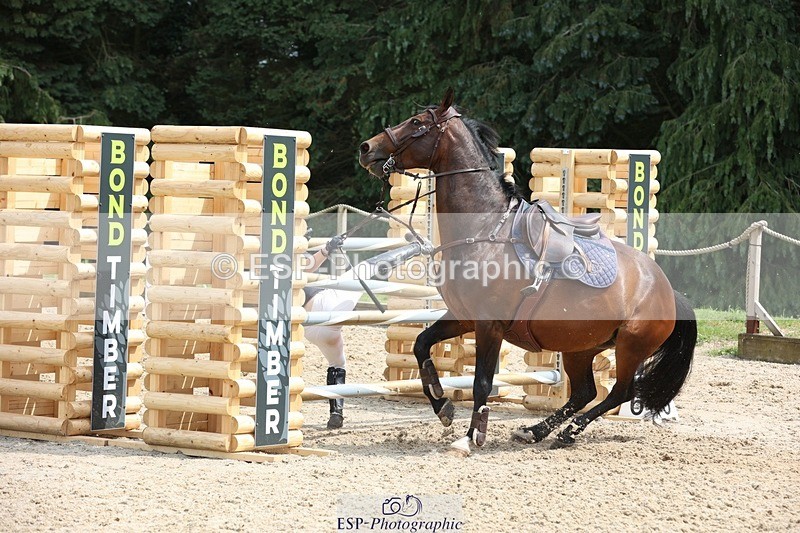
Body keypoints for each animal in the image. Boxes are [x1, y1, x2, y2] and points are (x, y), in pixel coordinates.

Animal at [358, 88, 696, 455]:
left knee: (619, 392)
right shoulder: (463, 317)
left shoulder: (488, 325)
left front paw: (471, 437)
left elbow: (481, 383)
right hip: (580, 347)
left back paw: (569, 432)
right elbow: (421, 345)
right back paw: (536, 431)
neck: (485, 228)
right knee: (584, 392)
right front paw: (443, 405)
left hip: (630, 347)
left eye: (417, 122)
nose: (366, 147)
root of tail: (667, 289)